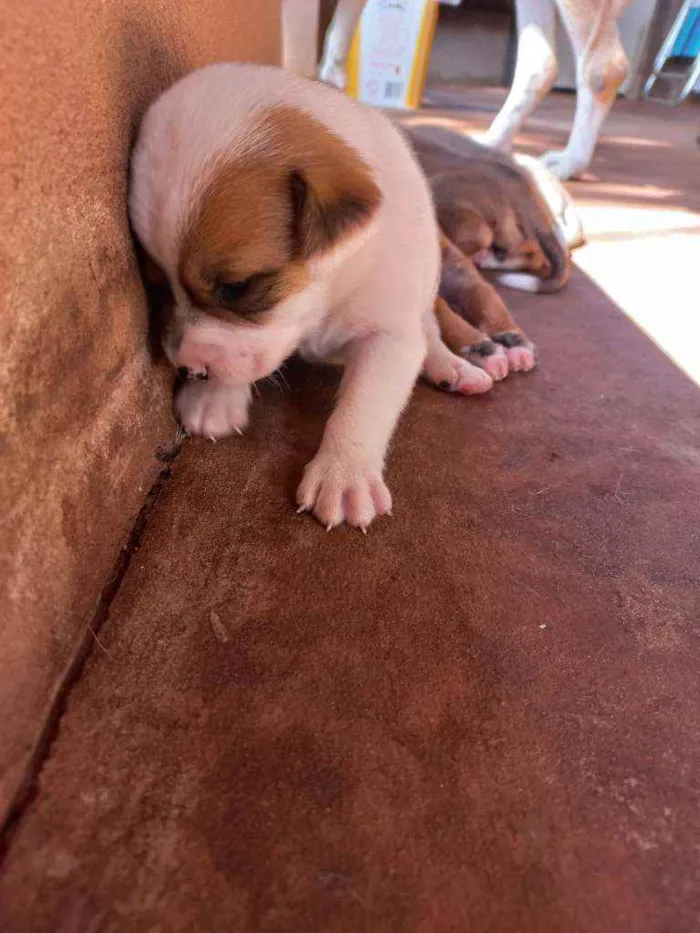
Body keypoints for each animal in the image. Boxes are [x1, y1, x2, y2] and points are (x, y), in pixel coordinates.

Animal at [131, 63, 492, 532]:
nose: (189, 370)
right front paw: (214, 398)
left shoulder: (390, 336)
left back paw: (453, 366)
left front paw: (344, 473)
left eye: (237, 287)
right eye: (157, 284)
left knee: (429, 332)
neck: (329, 292)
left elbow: (363, 405)